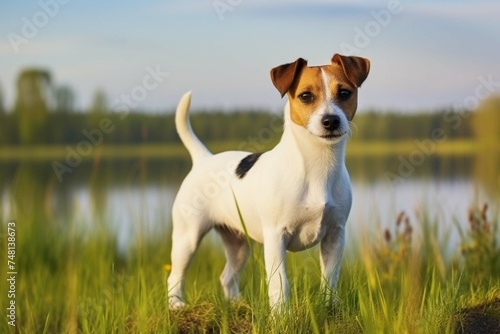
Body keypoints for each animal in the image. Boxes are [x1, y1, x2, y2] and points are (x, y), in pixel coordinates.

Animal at [170, 53, 370, 310]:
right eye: (306, 96)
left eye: (345, 92)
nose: (331, 121)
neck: (317, 166)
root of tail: (203, 159)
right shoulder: (276, 238)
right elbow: (279, 284)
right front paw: (281, 315)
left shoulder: (336, 235)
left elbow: (330, 278)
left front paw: (330, 307)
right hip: (188, 238)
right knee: (175, 276)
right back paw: (176, 304)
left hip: (238, 245)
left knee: (227, 276)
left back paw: (236, 303)